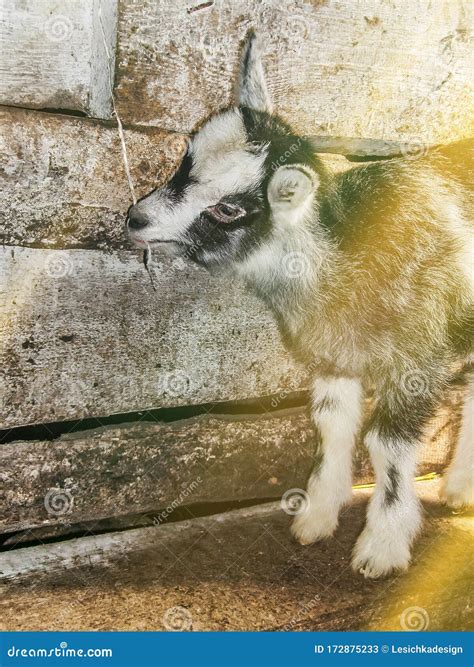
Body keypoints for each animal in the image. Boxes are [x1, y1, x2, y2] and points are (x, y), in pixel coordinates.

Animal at [127, 34, 474, 576]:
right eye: (184, 162)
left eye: (228, 208)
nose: (135, 219)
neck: (342, 253)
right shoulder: (333, 354)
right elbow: (331, 426)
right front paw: (315, 517)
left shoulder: (419, 360)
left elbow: (386, 446)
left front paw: (381, 548)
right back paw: (459, 489)